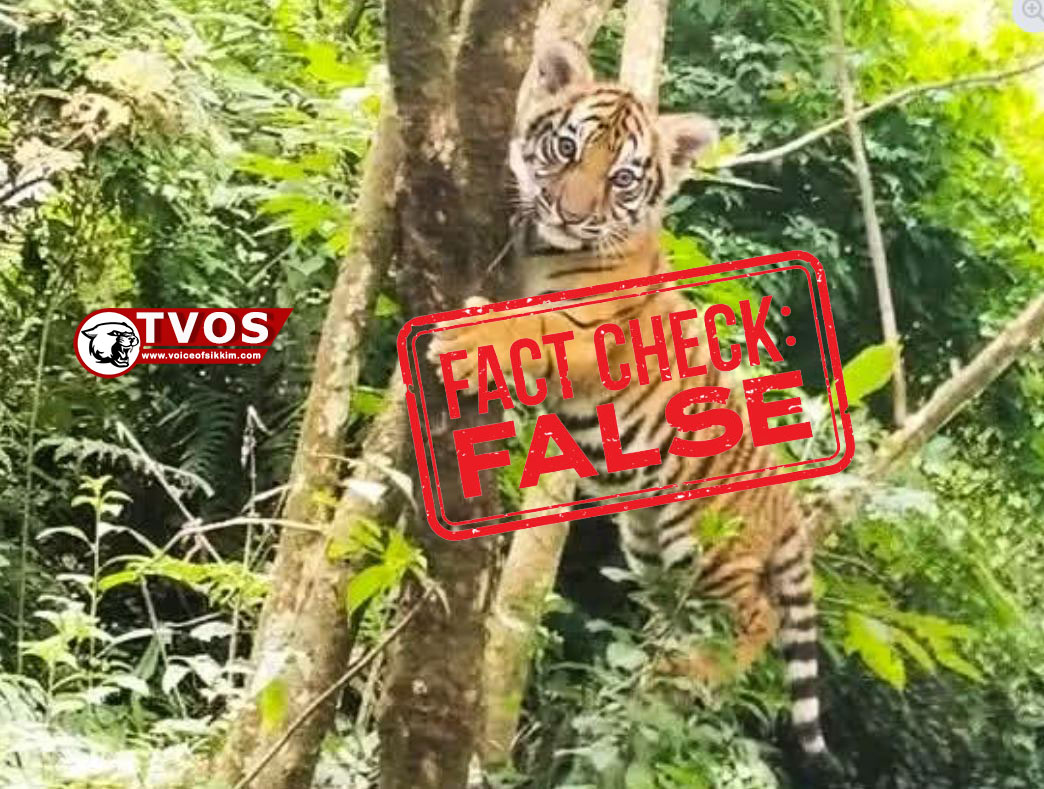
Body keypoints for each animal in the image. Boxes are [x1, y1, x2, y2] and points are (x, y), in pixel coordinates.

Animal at [427, 38, 831, 762]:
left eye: (622, 179)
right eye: (565, 147)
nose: (571, 213)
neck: (544, 247)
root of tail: (785, 492)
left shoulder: (590, 331)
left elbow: (532, 328)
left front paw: (466, 340)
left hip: (713, 551)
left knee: (754, 621)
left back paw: (694, 671)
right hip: (653, 548)